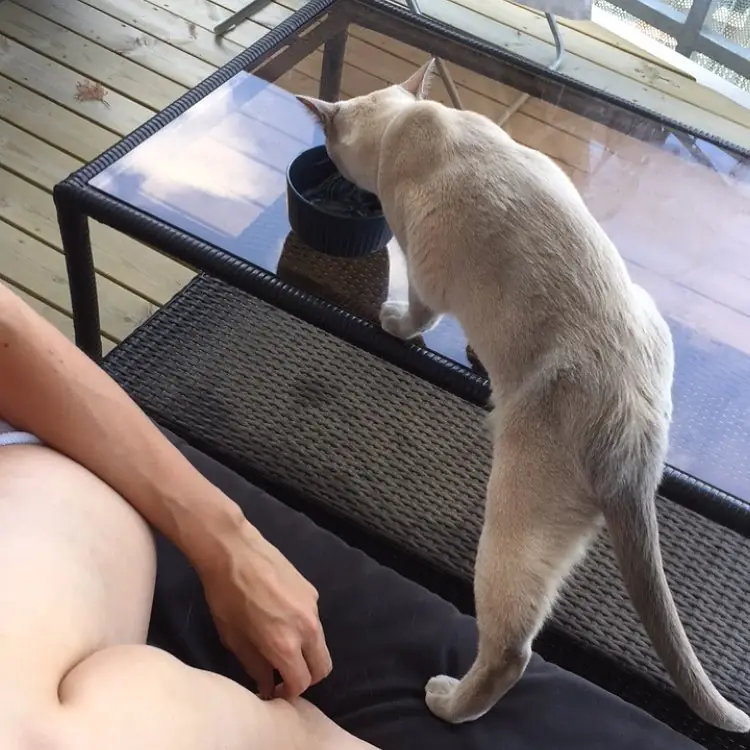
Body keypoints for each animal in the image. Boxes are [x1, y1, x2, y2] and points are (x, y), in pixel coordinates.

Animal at [296, 60, 750, 733]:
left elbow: (416, 315)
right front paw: (472, 353)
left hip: (511, 519)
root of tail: (637, 440)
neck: (410, 122)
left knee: (511, 649)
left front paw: (393, 322)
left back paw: (446, 703)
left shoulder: (424, 277)